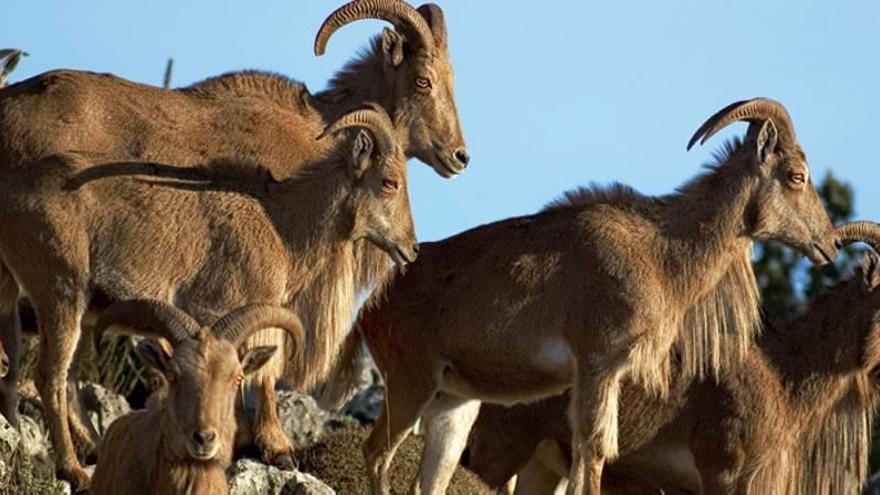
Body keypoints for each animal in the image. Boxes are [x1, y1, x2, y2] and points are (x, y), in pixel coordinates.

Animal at [322, 99, 840, 494]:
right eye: (796, 174)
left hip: (453, 405)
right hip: (409, 384)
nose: (830, 244)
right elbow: (592, 455)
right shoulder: (597, 363)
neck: (660, 250)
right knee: (376, 453)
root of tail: (371, 308)